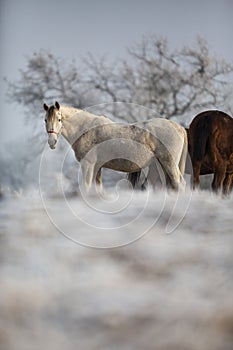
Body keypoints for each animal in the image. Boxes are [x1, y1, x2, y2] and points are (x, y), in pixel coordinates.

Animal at [42, 101, 187, 193]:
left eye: (59, 119)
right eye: (45, 120)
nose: (51, 142)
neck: (86, 128)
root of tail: (178, 127)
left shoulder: (87, 164)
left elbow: (86, 187)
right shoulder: (97, 167)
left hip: (169, 163)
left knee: (179, 184)